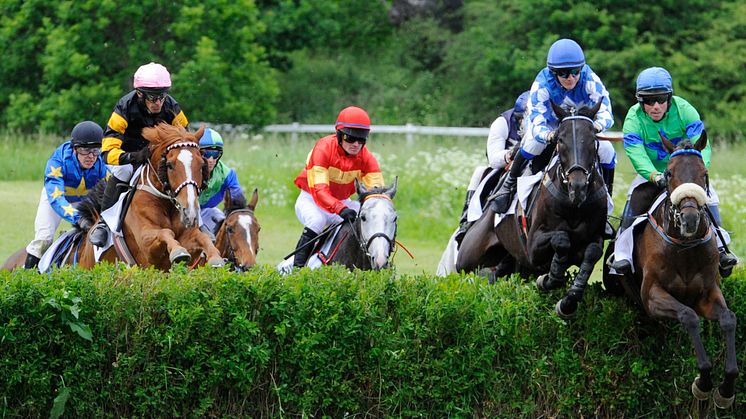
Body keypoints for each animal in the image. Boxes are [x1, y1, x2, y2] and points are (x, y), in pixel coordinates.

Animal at [456, 101, 608, 318]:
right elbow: (561, 240)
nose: (577, 186)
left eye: (592, 139)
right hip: (468, 256)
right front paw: (548, 279)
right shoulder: (533, 247)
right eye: (560, 140)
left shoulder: (592, 239)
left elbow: (592, 252)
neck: (573, 205)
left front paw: (567, 302)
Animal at [612, 135, 736, 410]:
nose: (689, 219)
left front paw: (725, 389)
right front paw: (703, 382)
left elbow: (728, 319)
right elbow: (688, 316)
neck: (684, 247)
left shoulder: (707, 292)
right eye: (668, 173)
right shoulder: (652, 296)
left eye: (704, 173)